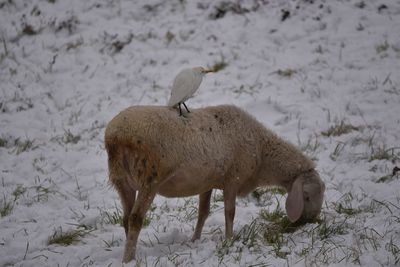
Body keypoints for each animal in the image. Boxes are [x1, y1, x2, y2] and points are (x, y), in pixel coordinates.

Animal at [105, 105, 324, 264]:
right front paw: (230, 240)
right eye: (307, 196)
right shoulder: (233, 179)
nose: (309, 222)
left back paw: (132, 250)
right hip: (150, 178)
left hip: (122, 181)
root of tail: (115, 136)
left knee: (126, 218)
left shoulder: (207, 183)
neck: (262, 153)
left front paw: (195, 240)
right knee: (135, 219)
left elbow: (203, 212)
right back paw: (128, 259)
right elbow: (230, 212)